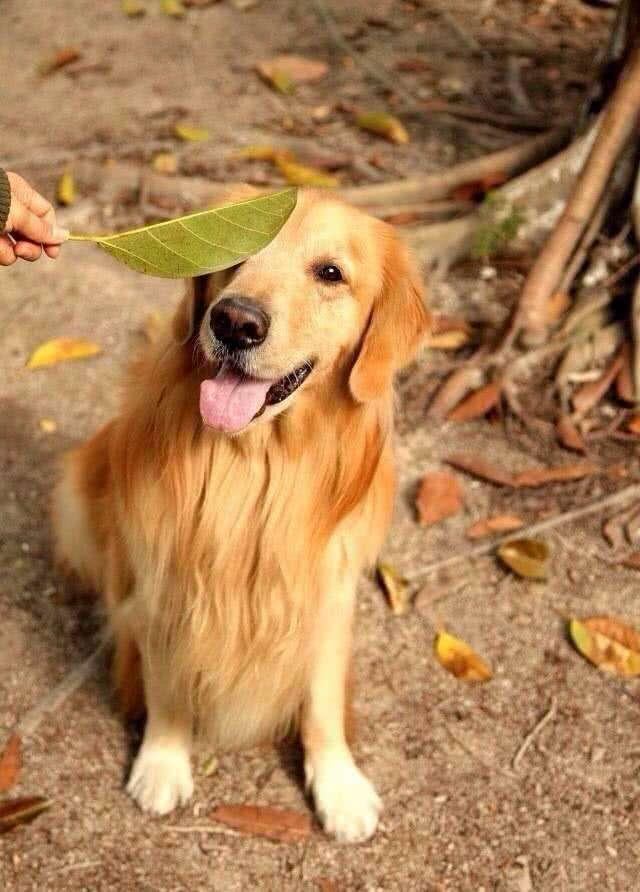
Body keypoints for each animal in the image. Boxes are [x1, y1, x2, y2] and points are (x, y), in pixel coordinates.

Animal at [51, 188, 430, 844]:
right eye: (233, 254)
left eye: (330, 273)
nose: (235, 322)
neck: (254, 464)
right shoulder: (167, 583)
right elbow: (168, 682)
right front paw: (163, 759)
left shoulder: (328, 592)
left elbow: (322, 700)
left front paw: (338, 784)